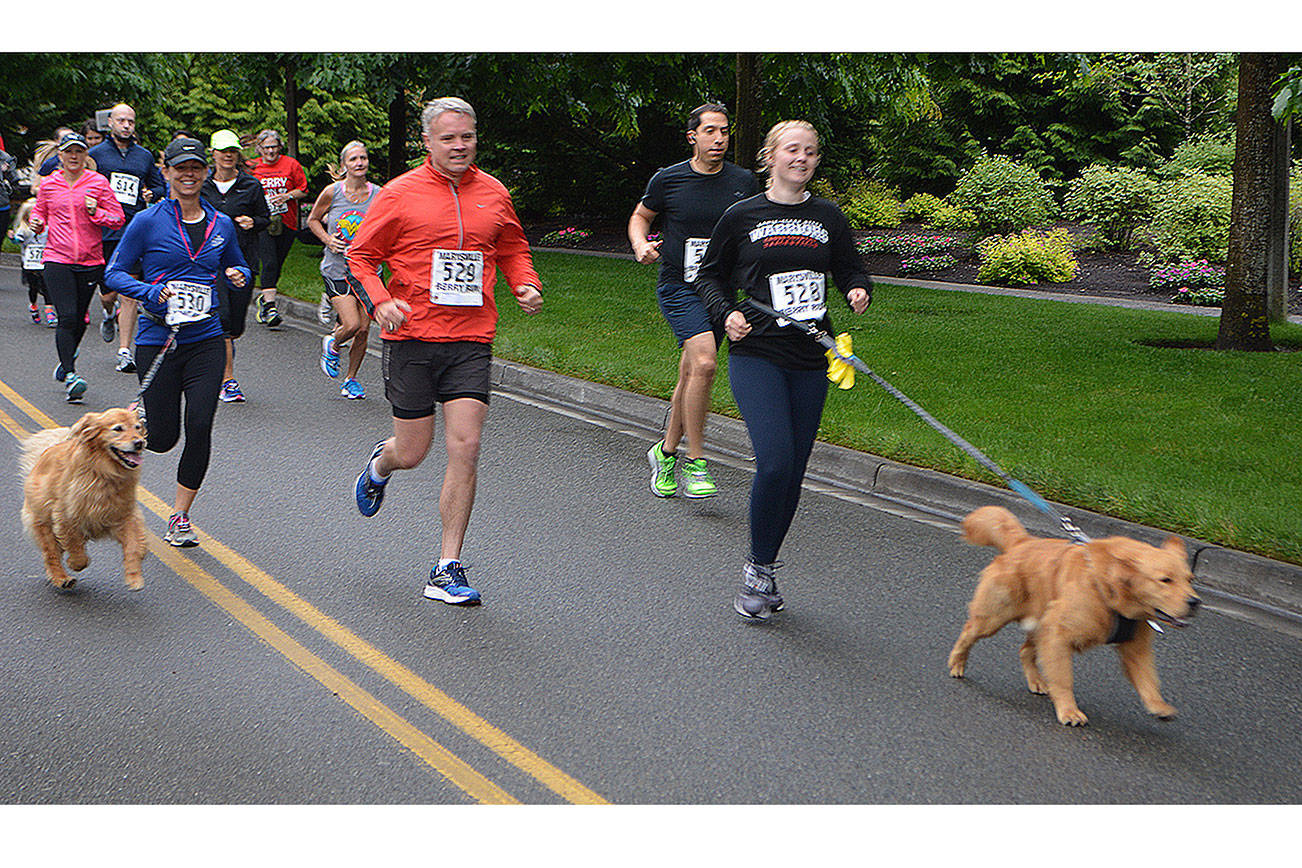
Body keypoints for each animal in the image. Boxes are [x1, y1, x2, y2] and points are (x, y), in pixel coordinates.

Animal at [20, 408, 147, 590]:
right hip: (42, 521)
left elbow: (134, 544)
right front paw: (75, 563)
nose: (139, 443)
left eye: (138, 427)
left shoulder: (126, 515)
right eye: (118, 429)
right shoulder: (66, 516)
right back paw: (61, 578)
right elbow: (75, 547)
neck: (103, 473)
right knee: (50, 554)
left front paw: (134, 577)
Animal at [947, 504, 1197, 723]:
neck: (1108, 588)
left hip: (1039, 622)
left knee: (1024, 650)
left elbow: (1148, 680)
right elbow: (1063, 678)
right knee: (968, 633)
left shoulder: (1136, 647)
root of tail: (1022, 543)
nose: (1195, 601)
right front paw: (1069, 711)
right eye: (1165, 580)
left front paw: (1158, 706)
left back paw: (1037, 680)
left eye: (1190, 579)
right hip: (994, 617)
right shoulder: (1058, 635)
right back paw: (956, 663)